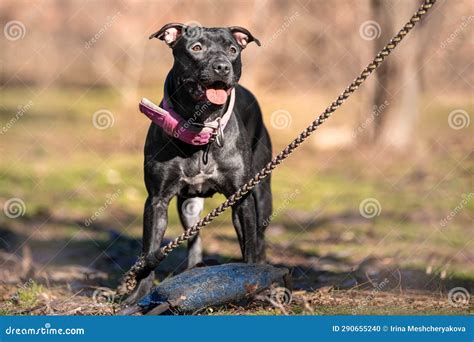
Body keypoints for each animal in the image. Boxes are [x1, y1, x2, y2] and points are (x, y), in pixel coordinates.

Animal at [126, 22, 272, 304]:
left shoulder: (242, 200)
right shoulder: (157, 200)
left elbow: (248, 245)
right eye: (196, 48)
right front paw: (139, 295)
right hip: (189, 206)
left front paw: (251, 283)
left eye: (232, 49)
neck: (202, 128)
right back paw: (193, 269)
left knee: (259, 239)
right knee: (194, 237)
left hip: (262, 192)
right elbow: (149, 253)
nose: (222, 67)